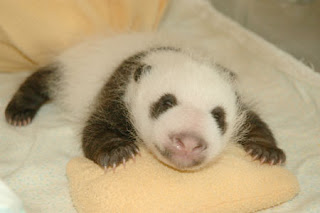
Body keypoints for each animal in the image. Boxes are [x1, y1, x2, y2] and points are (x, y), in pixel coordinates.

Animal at [4, 32, 284, 171]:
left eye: (218, 116)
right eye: (166, 103)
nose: (188, 143)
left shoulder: (239, 103)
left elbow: (255, 122)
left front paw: (266, 151)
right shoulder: (119, 92)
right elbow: (98, 126)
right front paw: (118, 152)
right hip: (70, 68)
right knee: (42, 79)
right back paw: (19, 113)